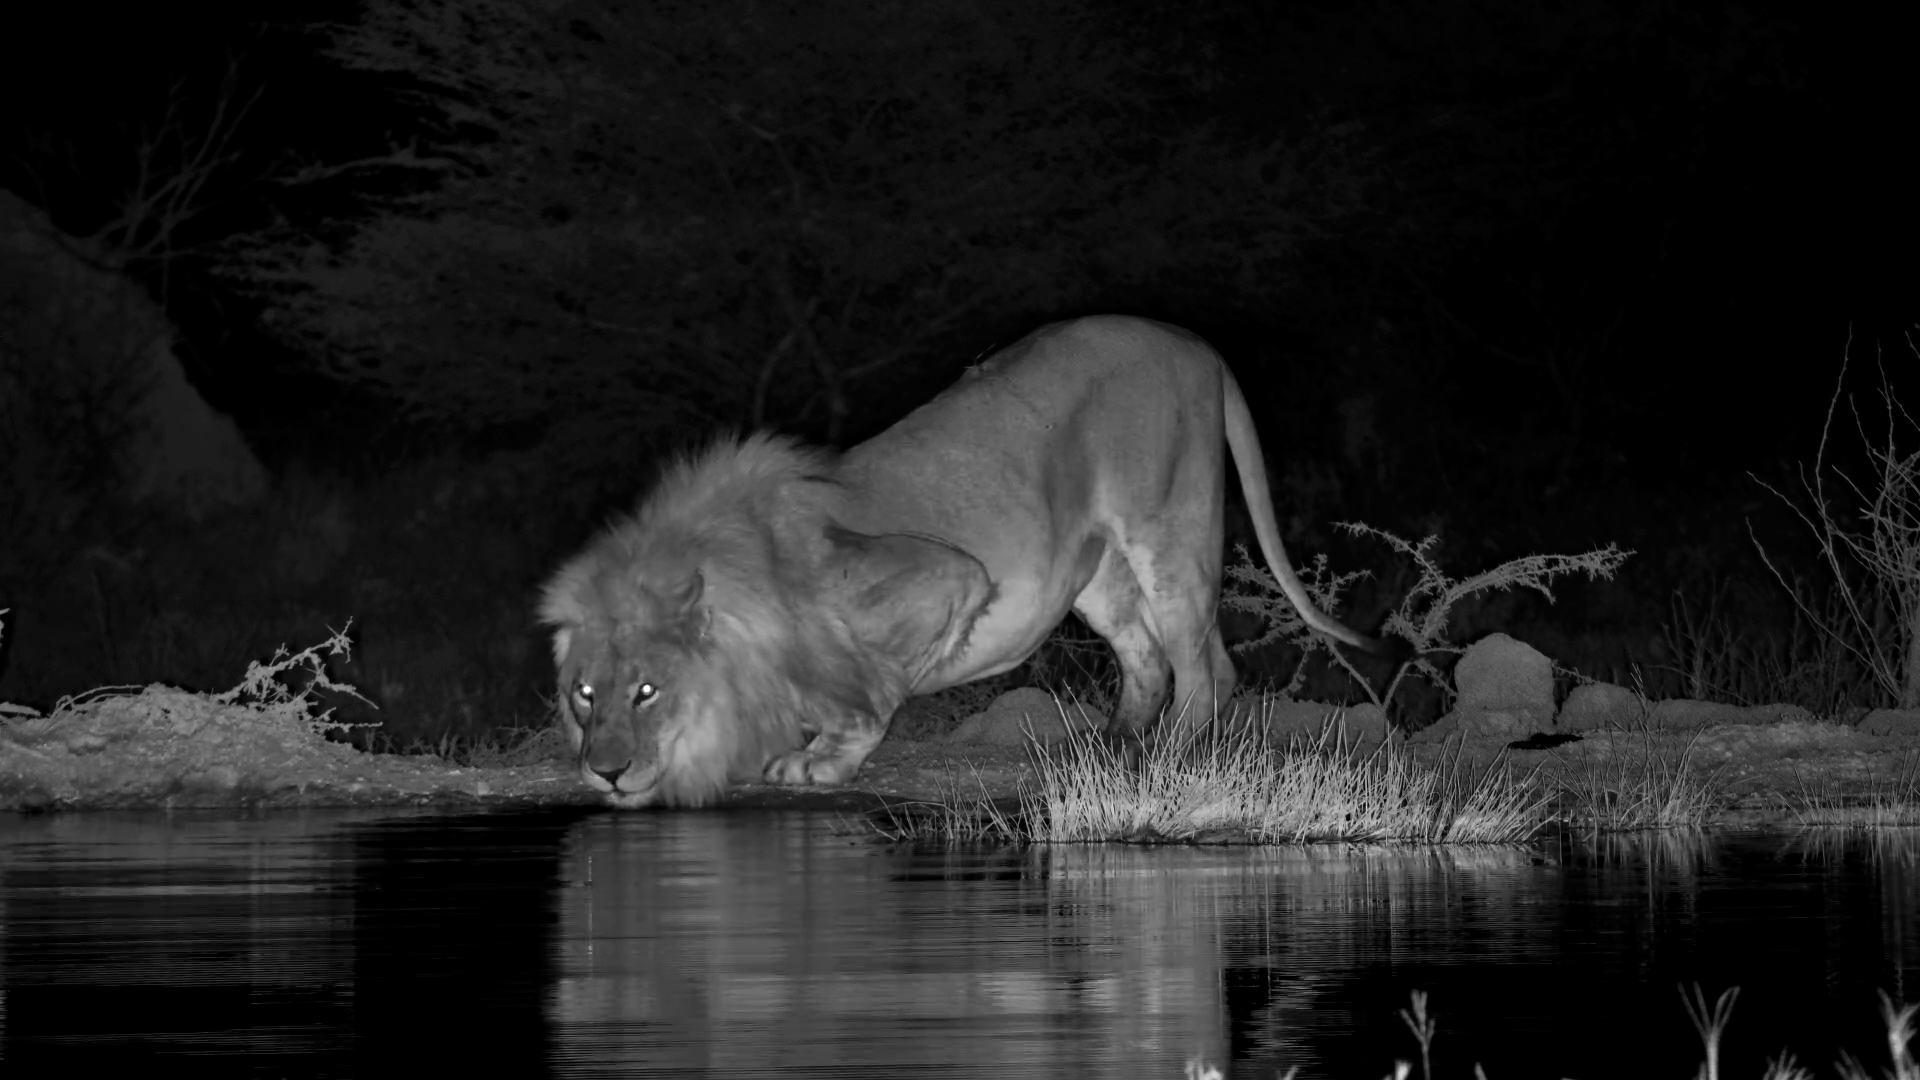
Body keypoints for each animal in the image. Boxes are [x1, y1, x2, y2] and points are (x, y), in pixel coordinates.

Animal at [540, 315, 1390, 807]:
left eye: (647, 690)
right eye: (583, 693)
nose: (603, 770)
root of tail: (1195, 342)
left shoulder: (942, 576)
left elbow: (869, 691)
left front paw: (820, 761)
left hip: (1168, 531)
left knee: (1209, 669)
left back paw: (1162, 762)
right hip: (1099, 574)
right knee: (1149, 659)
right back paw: (1108, 746)